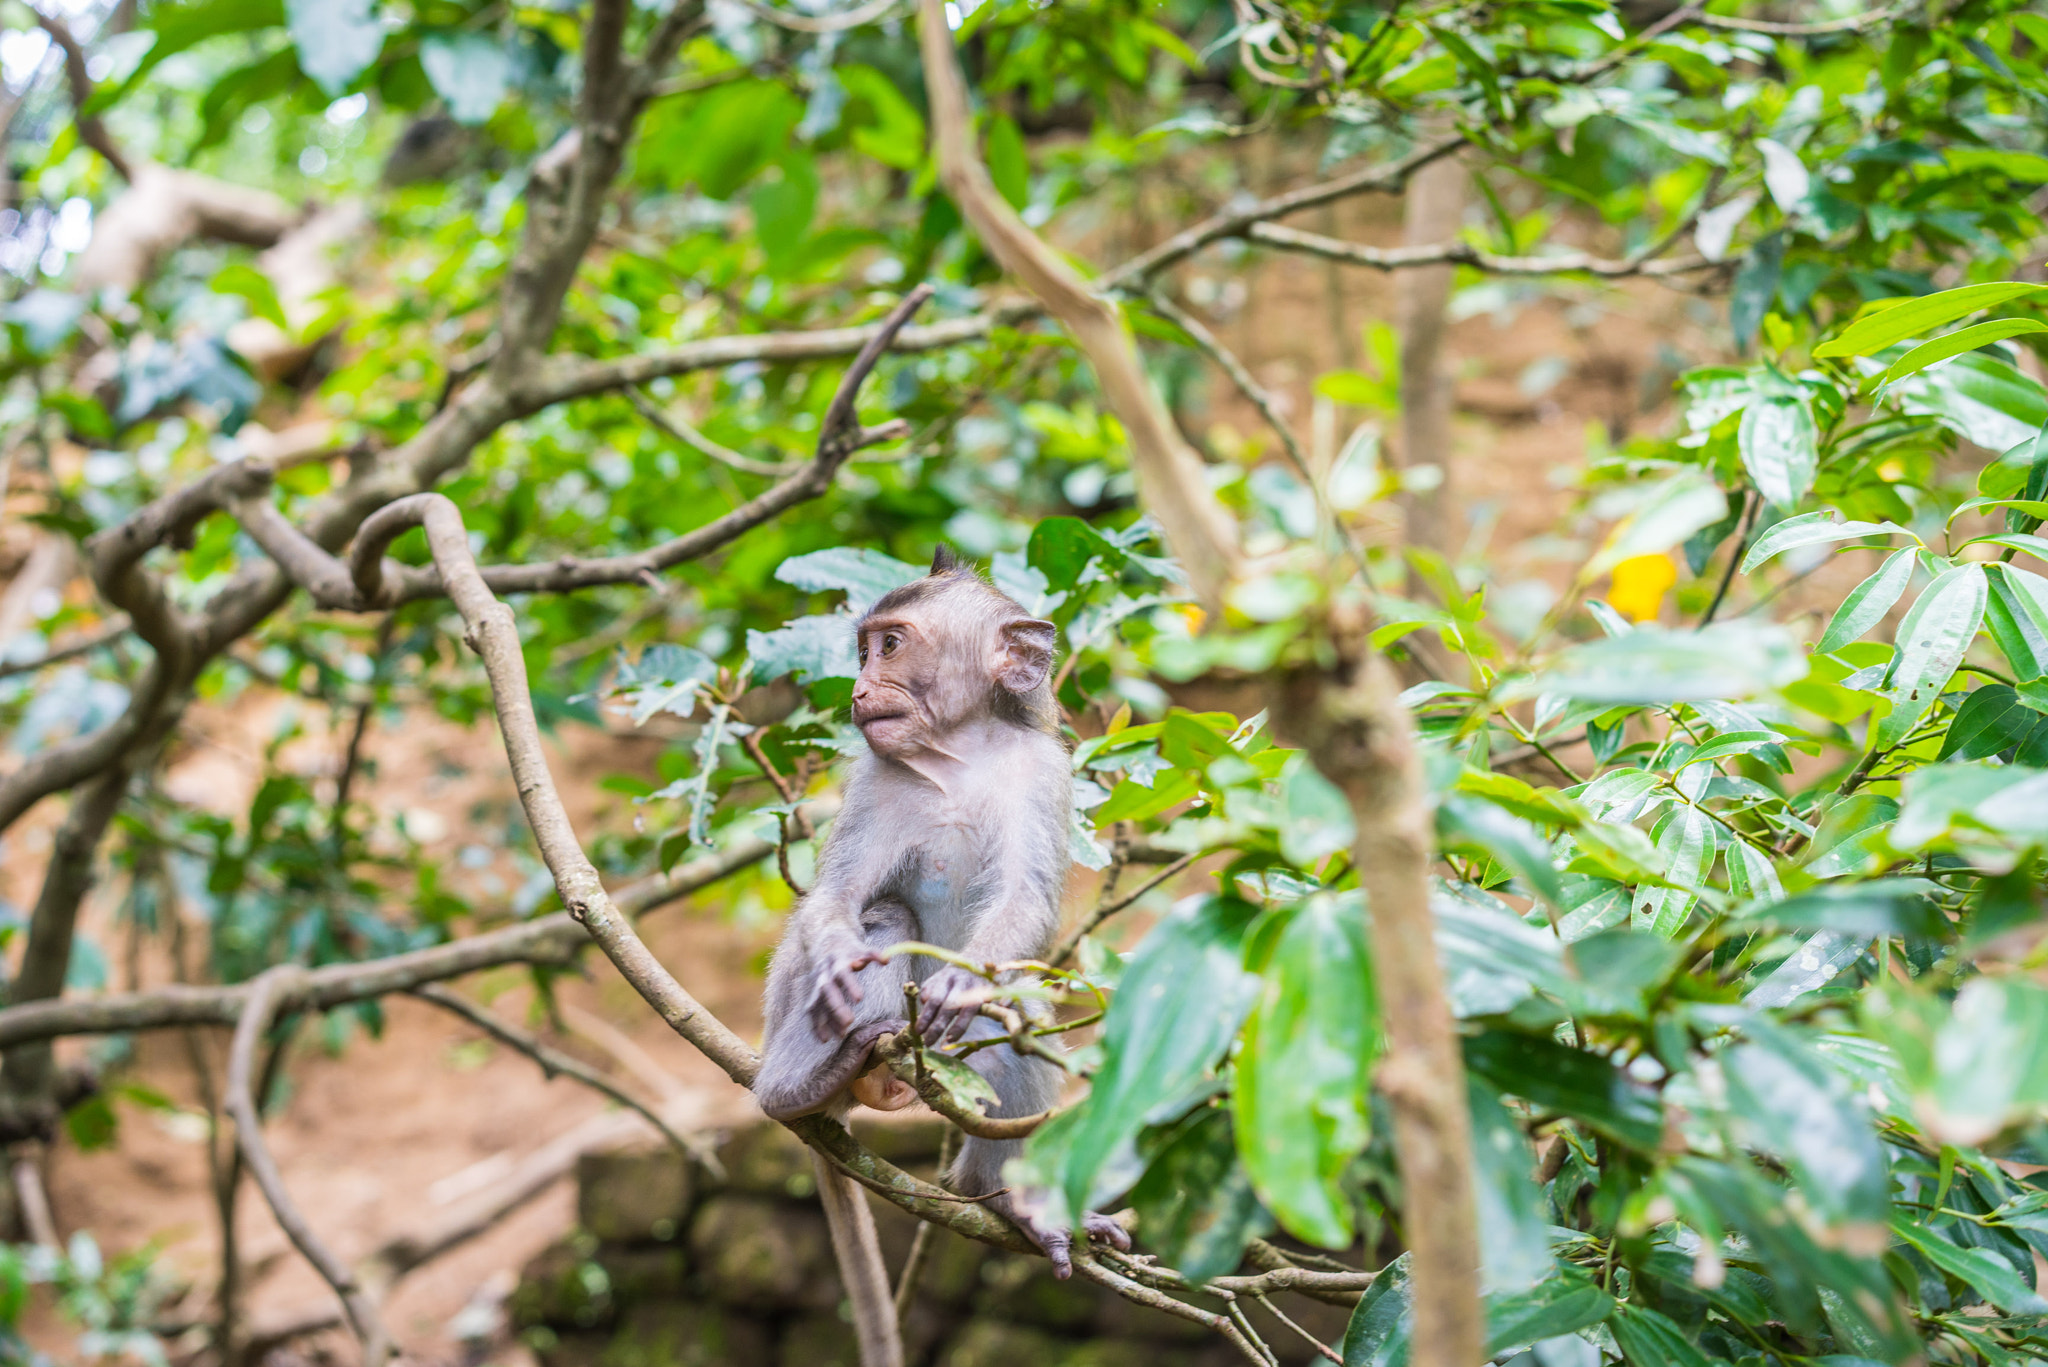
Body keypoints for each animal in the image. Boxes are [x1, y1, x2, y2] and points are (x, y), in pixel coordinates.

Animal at [757, 549, 1138, 1287]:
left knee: (1013, 1014)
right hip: (787, 1011)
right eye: (863, 649)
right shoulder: (875, 781)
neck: (959, 756)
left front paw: (960, 985)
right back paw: (793, 1089)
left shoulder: (1043, 773)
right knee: (887, 916)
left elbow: (1023, 901)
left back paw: (1015, 1203)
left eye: (890, 646)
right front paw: (838, 960)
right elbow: (837, 899)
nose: (859, 687)